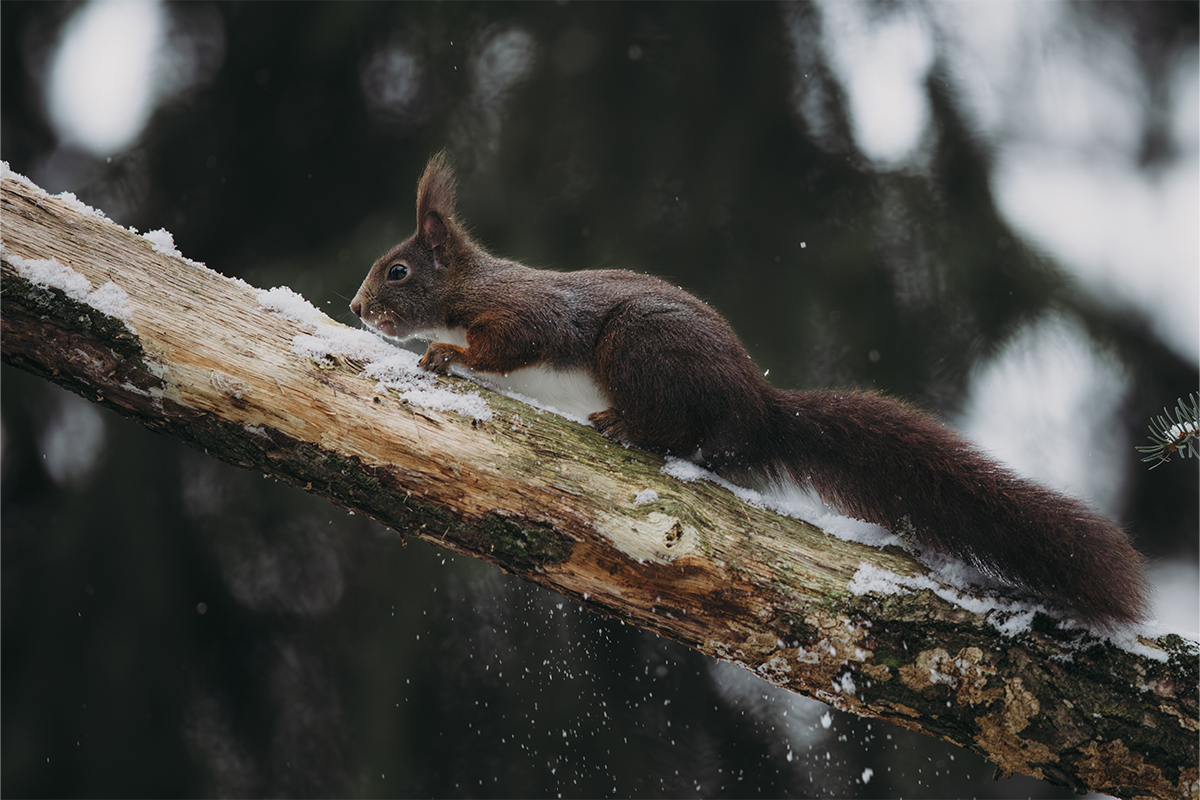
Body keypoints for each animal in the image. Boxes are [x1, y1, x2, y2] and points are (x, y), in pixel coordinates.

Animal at [351, 153, 1149, 628]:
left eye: (398, 272)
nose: (356, 309)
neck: (470, 287)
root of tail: (758, 407)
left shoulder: (527, 316)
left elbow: (506, 348)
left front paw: (446, 355)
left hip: (638, 346)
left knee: (682, 429)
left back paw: (624, 425)